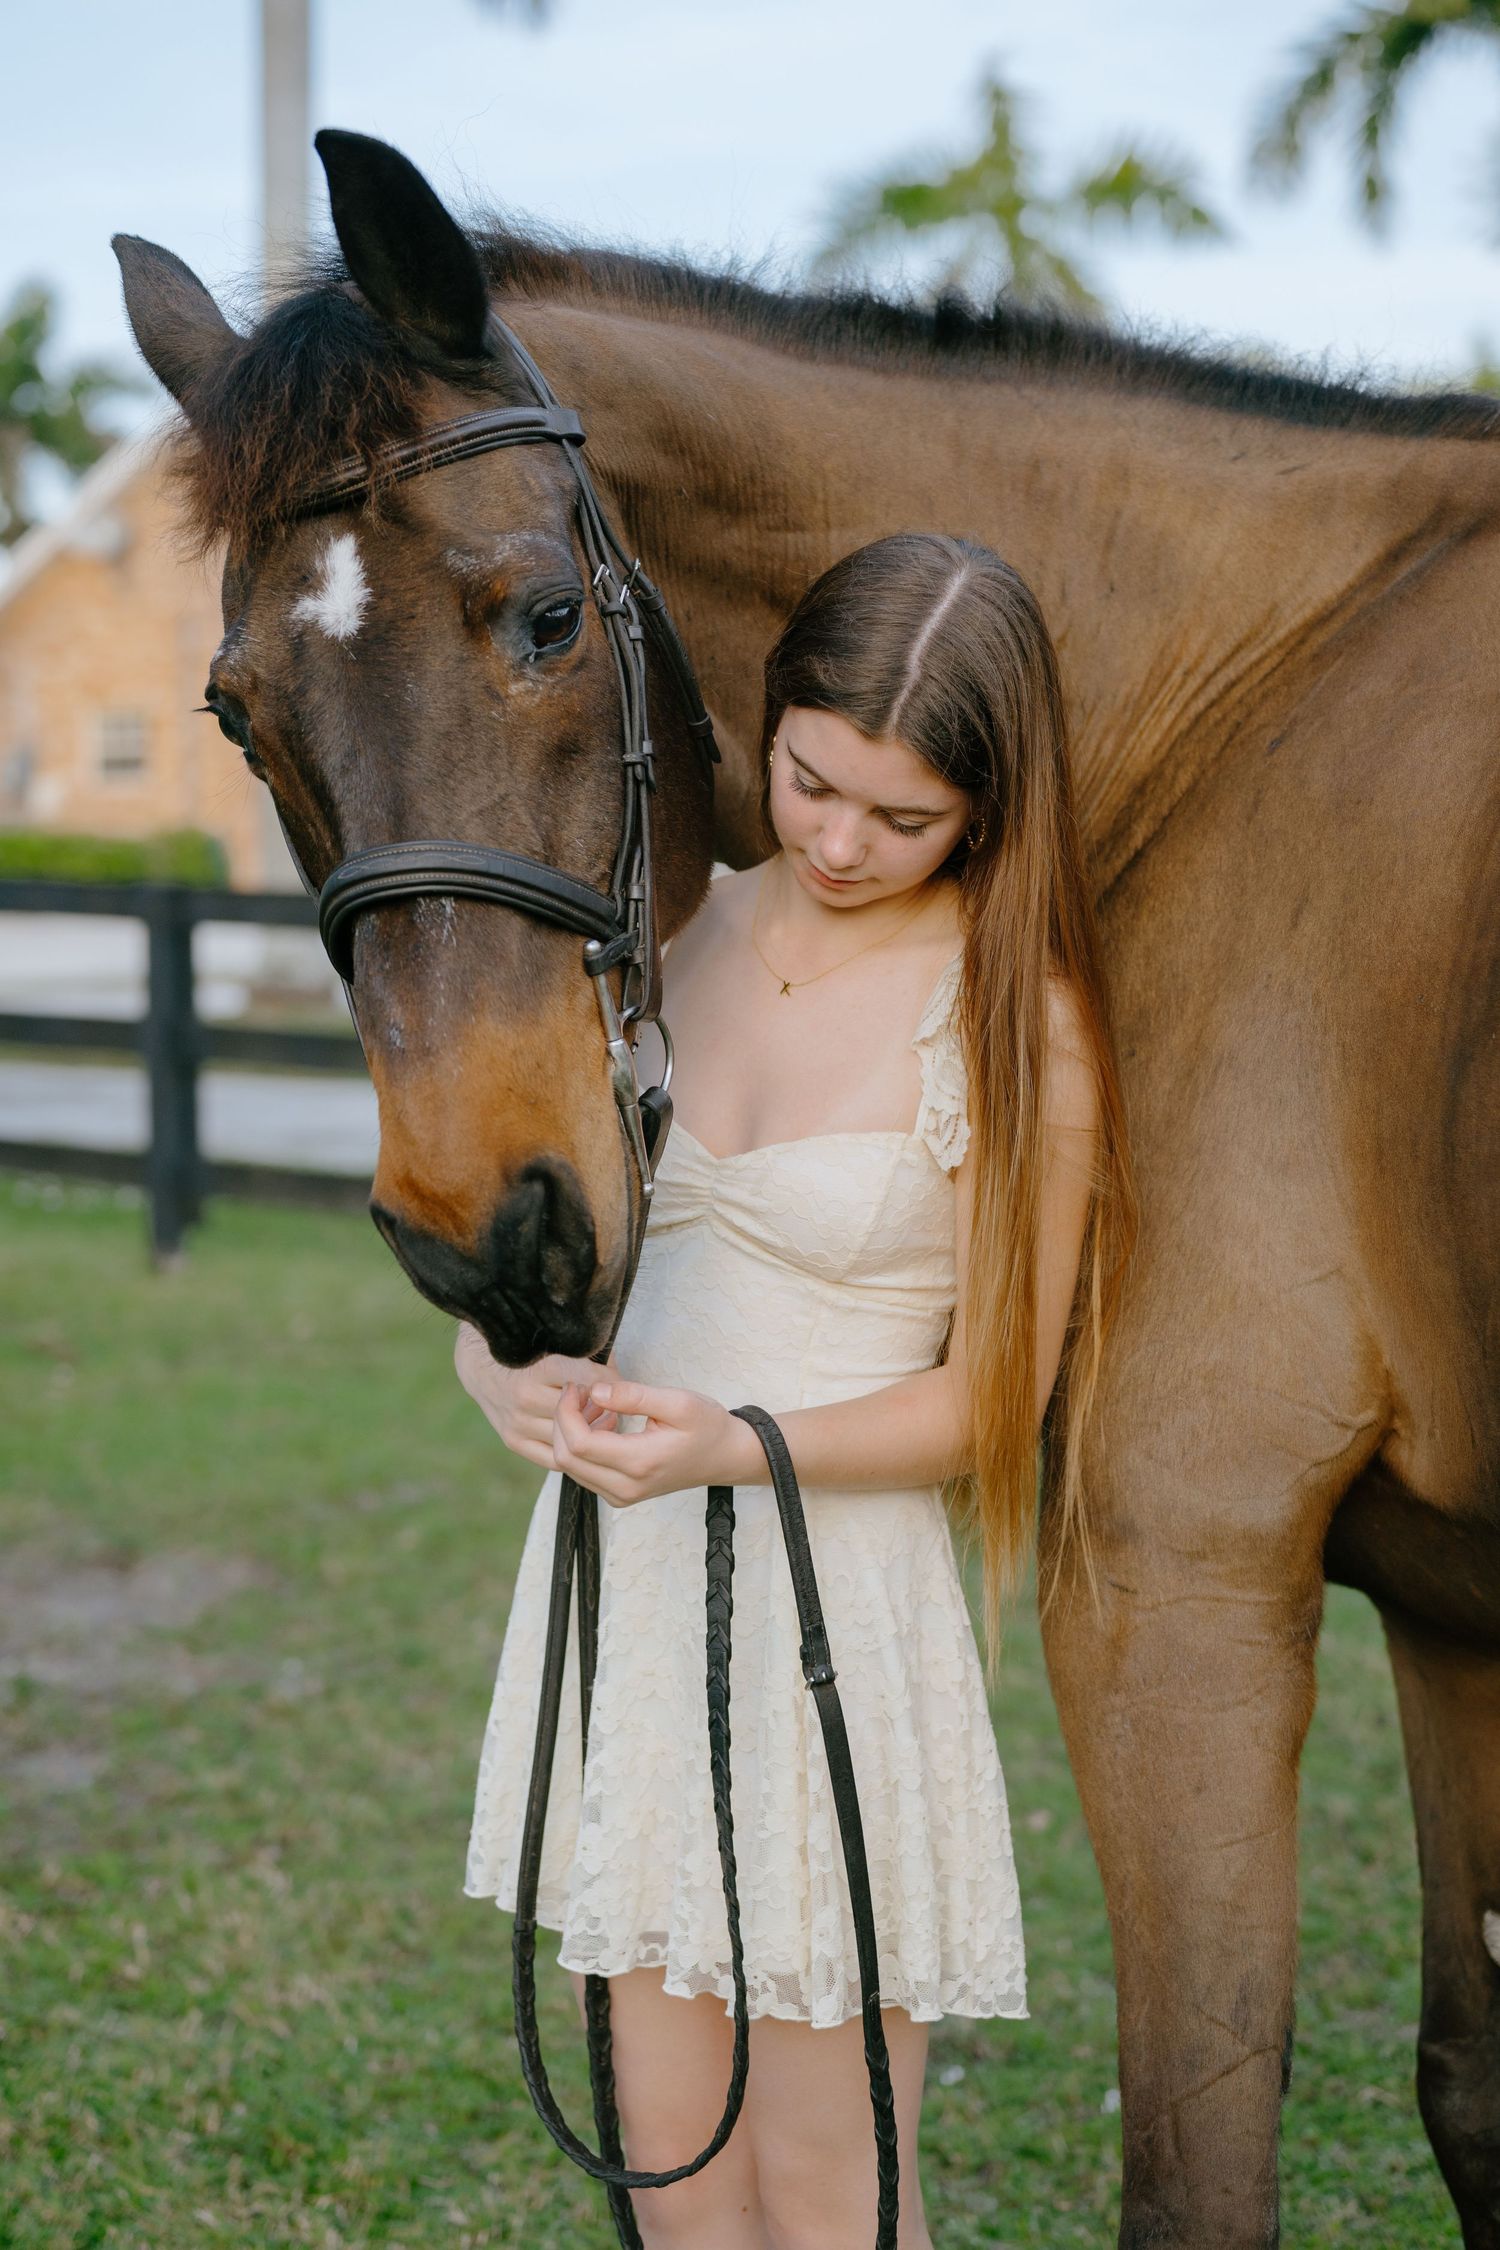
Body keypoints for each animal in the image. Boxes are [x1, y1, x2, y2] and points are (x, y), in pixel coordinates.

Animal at [112, 129, 1500, 2248]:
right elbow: (1472, 2091)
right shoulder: (1455, 1614)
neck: (1245, 717)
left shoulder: (1178, 1581)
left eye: (545, 620)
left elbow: (1198, 2161)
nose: (493, 1237)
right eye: (233, 712)